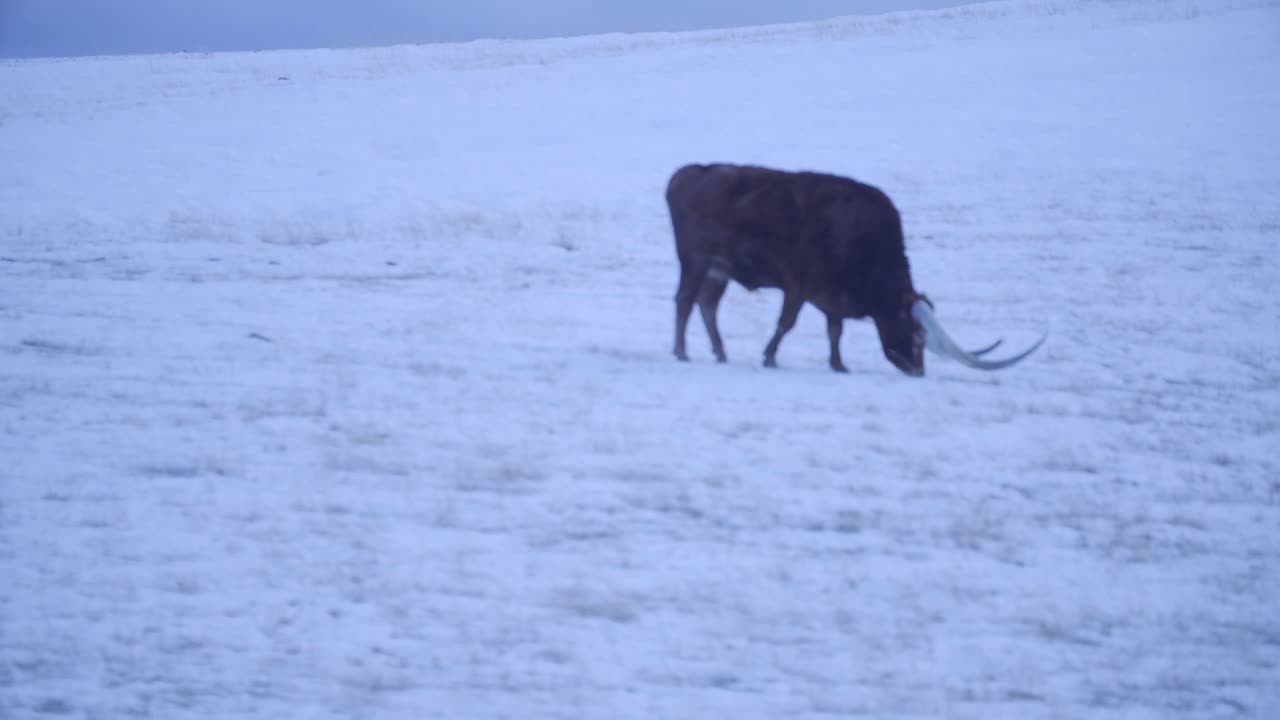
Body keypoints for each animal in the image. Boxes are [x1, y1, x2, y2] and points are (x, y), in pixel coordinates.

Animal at [666, 163, 1045, 376]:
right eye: (917, 334)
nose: (917, 371)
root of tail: (687, 174)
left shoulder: (831, 297)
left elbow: (835, 331)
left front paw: (838, 364)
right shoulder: (798, 284)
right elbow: (786, 323)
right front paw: (770, 357)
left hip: (718, 269)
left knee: (707, 305)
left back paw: (720, 353)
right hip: (695, 260)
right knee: (684, 301)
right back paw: (681, 352)